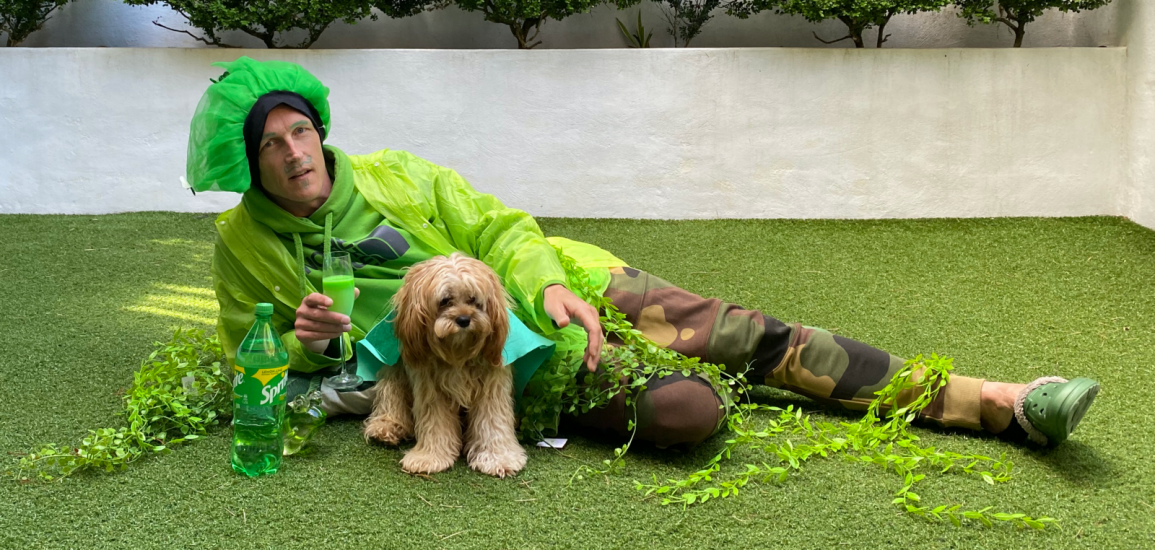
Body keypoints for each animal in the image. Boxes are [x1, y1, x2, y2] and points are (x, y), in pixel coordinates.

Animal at [362, 253, 526, 476]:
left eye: (473, 300)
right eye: (445, 301)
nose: (464, 319)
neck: (457, 353)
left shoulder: (492, 386)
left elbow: (492, 422)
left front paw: (498, 458)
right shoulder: (430, 388)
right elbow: (435, 424)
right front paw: (429, 458)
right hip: (394, 371)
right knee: (390, 394)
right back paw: (386, 427)